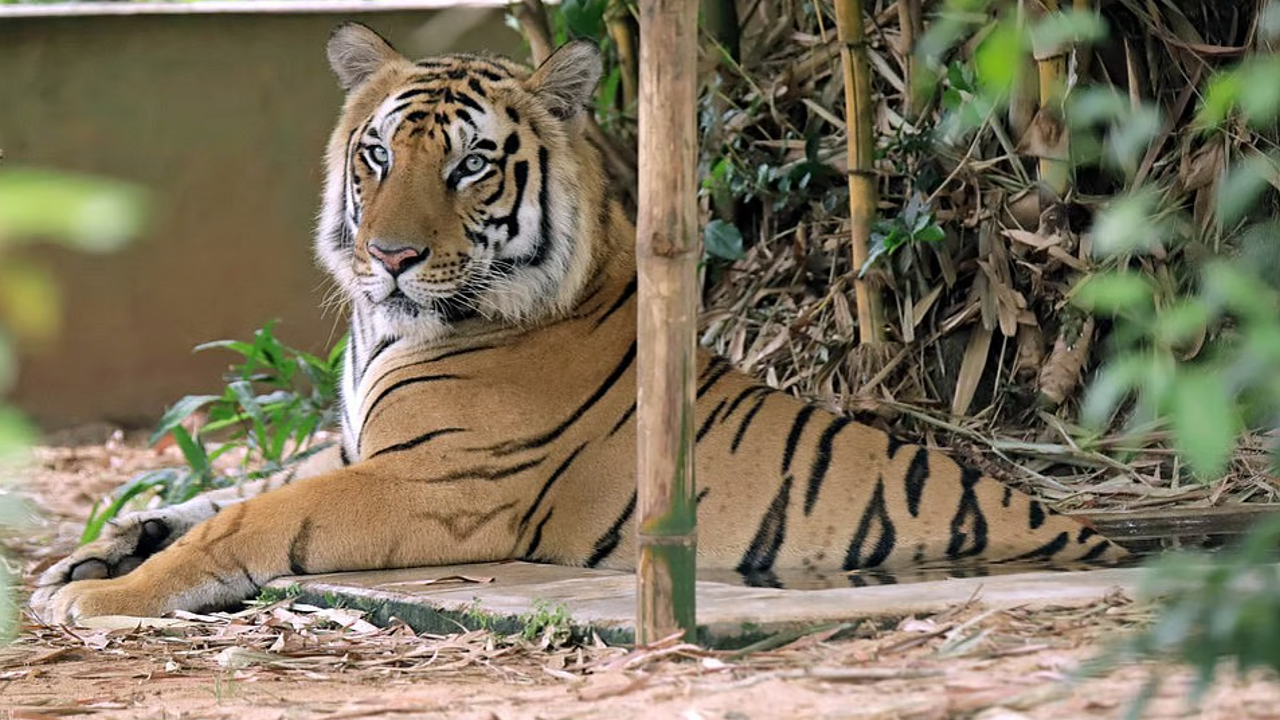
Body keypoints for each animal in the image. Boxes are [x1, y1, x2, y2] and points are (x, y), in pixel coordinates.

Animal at [32, 23, 1124, 623]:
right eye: (377, 156)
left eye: (471, 165)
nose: (389, 257)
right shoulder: (352, 449)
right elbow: (211, 494)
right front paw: (82, 556)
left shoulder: (433, 483)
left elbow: (254, 516)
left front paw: (102, 595)